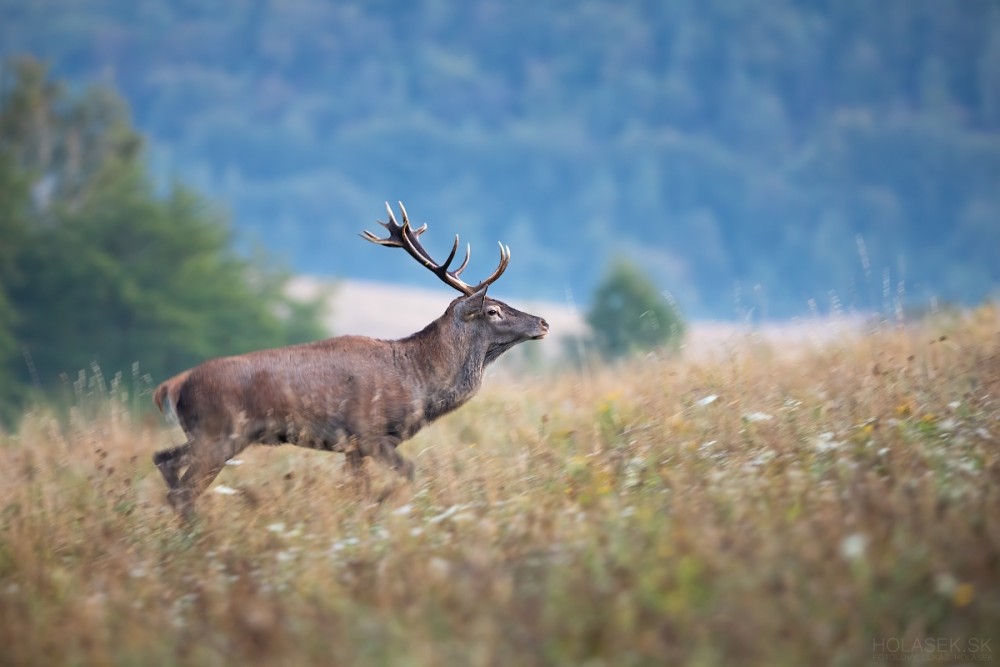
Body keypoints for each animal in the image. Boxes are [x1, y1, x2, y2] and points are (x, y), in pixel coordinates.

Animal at [152, 202, 552, 516]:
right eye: (493, 310)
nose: (544, 322)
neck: (418, 381)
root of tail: (171, 387)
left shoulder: (352, 449)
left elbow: (360, 492)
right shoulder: (368, 434)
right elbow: (404, 475)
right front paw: (386, 505)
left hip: (208, 435)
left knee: (163, 461)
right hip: (219, 433)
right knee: (183, 489)